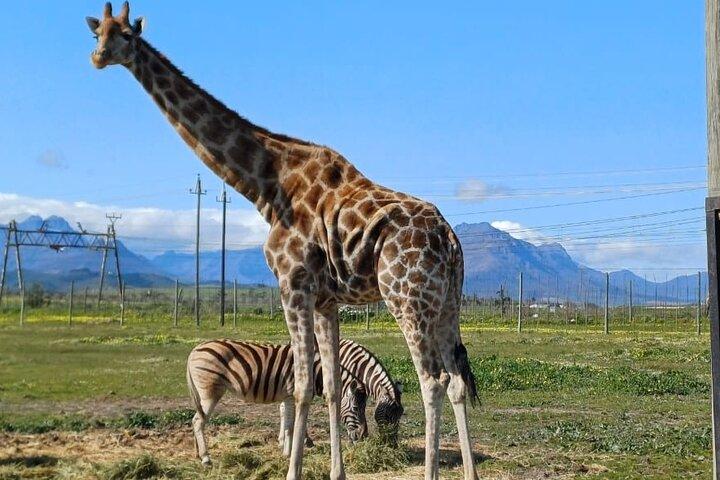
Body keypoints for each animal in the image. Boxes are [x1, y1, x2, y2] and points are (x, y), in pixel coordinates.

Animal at [85, 3, 479, 479]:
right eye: (97, 33)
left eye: (125, 35)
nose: (98, 58)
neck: (267, 186)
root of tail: (450, 240)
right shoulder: (326, 298)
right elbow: (331, 388)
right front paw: (336, 471)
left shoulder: (292, 283)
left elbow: (302, 388)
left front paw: (294, 469)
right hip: (447, 302)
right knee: (456, 382)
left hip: (406, 298)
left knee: (432, 382)